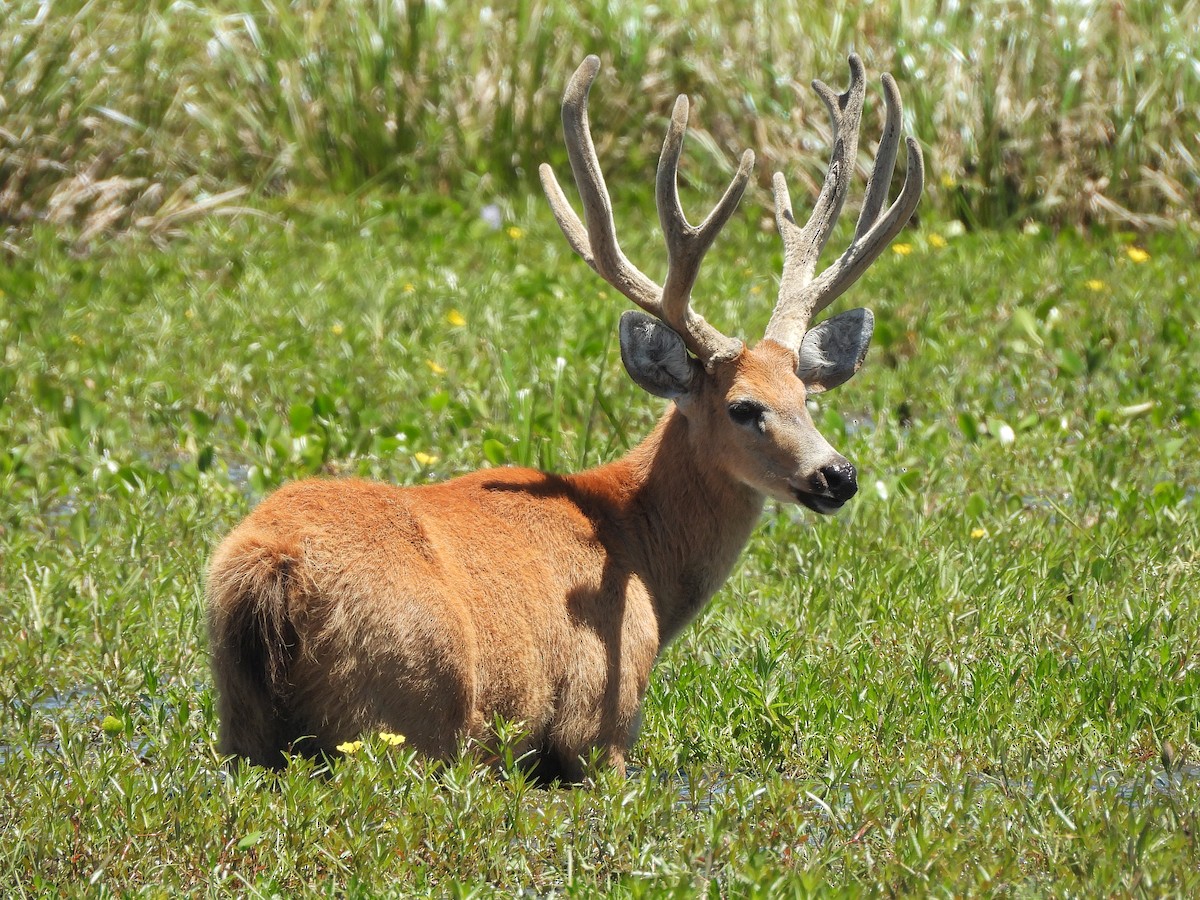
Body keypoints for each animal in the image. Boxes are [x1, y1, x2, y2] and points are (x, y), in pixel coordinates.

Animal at [206, 54, 923, 781]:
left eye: (807, 398)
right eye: (743, 408)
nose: (838, 475)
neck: (639, 549)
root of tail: (270, 571)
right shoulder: (600, 719)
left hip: (241, 723)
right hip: (407, 712)